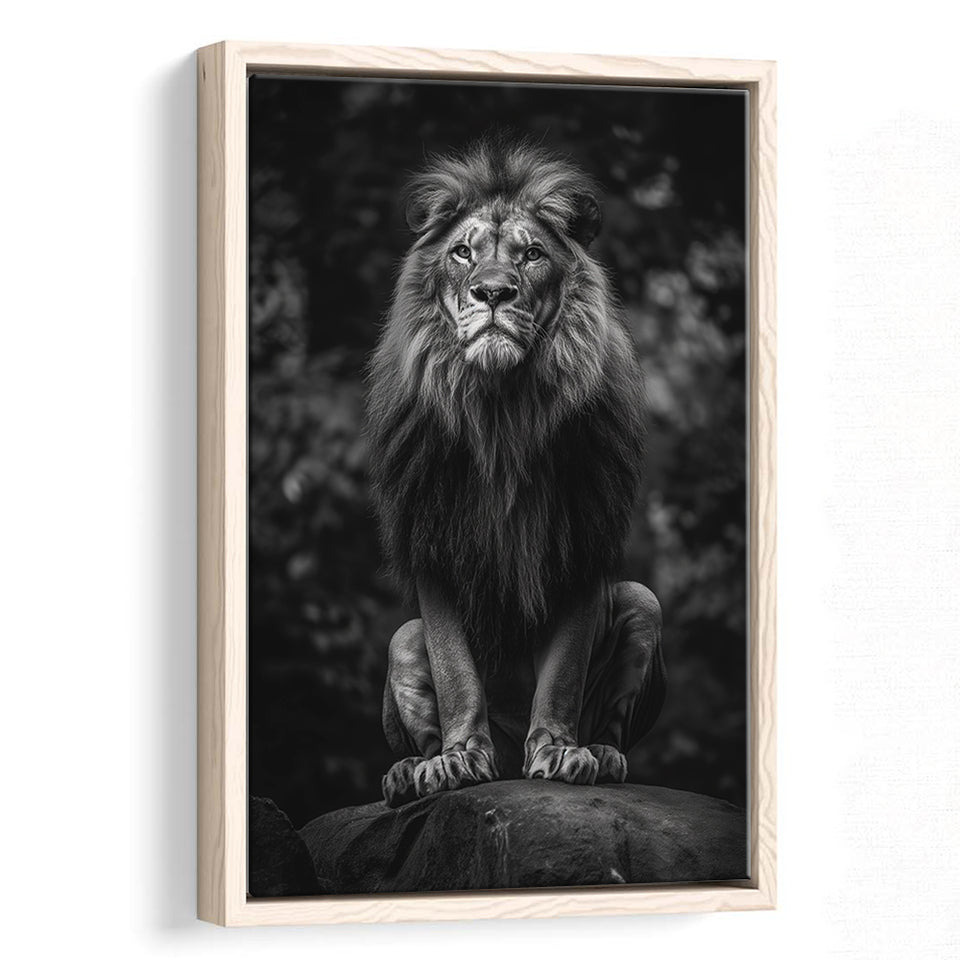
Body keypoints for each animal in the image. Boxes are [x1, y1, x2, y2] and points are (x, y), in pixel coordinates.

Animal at [367, 140, 666, 807]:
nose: (493, 293)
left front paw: (558, 751)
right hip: (402, 640)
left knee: (614, 723)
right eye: (462, 251)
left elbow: (562, 674)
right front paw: (456, 760)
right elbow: (456, 674)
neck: (501, 409)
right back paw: (410, 772)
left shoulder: (582, 543)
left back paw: (603, 756)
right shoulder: (433, 544)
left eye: (532, 255)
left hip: (643, 602)